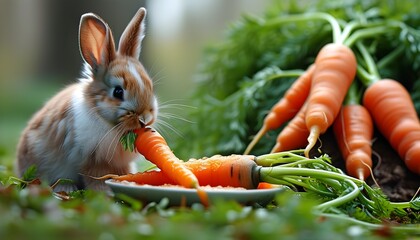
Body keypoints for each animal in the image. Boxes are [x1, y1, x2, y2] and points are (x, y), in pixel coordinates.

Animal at [15, 6, 158, 192]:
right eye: (118, 92)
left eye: (150, 85)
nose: (145, 118)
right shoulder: (93, 160)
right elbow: (96, 176)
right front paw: (104, 191)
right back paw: (66, 188)